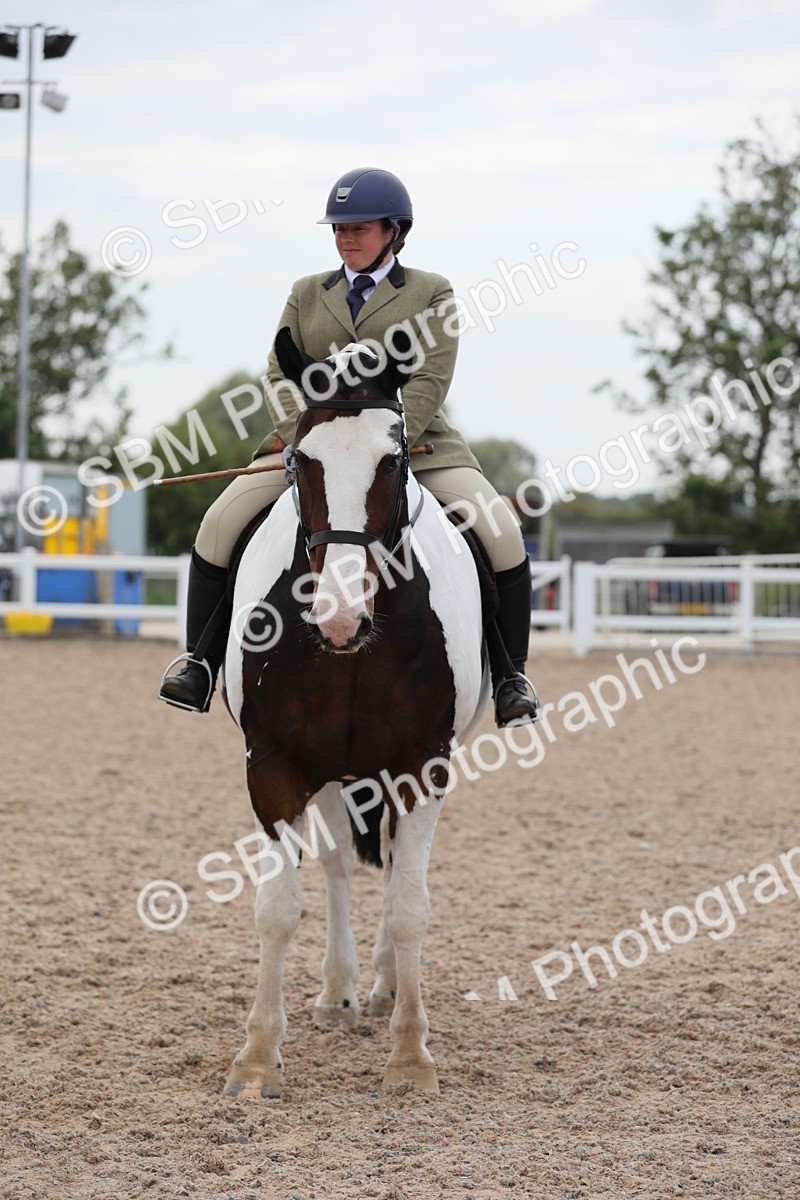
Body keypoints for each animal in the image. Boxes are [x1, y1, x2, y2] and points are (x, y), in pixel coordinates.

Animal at [221, 326, 489, 1098]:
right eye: (299, 460)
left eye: (393, 459)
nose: (339, 620)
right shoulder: (274, 764)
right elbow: (277, 909)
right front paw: (257, 1057)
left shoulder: (423, 765)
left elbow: (408, 908)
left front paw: (410, 1055)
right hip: (333, 772)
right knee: (340, 863)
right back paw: (339, 992)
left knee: (395, 863)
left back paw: (384, 990)